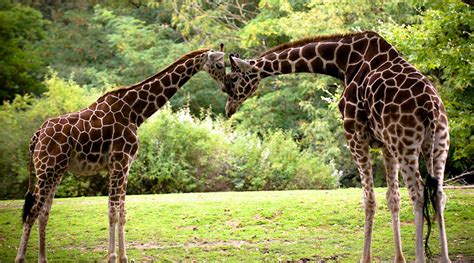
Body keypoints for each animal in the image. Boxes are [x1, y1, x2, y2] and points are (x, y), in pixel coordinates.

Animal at [15, 46, 227, 263]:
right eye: (220, 65)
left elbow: (122, 212)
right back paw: (20, 258)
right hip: (47, 170)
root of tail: (36, 136)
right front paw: (112, 256)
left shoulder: (126, 165)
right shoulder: (119, 161)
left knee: (43, 212)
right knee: (32, 212)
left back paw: (43, 258)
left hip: (55, 171)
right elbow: (112, 211)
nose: (227, 86)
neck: (136, 112)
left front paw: (123, 257)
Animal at [220, 32, 450, 262]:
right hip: (438, 143)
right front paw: (399, 258)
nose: (228, 108)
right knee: (438, 193)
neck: (344, 60)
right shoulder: (385, 145)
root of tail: (430, 105)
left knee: (418, 193)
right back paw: (445, 258)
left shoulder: (355, 136)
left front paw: (365, 258)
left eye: (233, 78)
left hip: (405, 144)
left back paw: (420, 257)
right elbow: (393, 198)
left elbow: (369, 199)